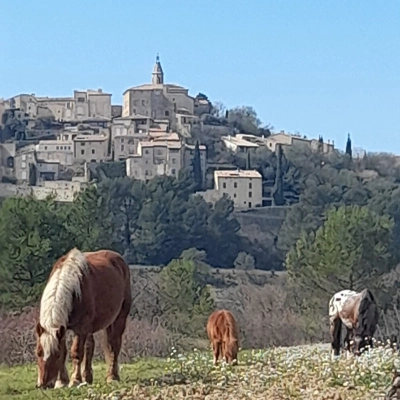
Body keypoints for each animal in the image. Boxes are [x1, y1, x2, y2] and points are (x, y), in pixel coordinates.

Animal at [34, 248, 131, 390]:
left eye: (56, 355)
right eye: (38, 352)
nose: (44, 384)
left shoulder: (80, 329)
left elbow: (76, 352)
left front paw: (75, 380)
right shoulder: (63, 330)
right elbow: (68, 351)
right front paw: (61, 381)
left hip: (119, 318)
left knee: (114, 345)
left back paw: (112, 377)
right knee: (90, 347)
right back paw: (87, 377)